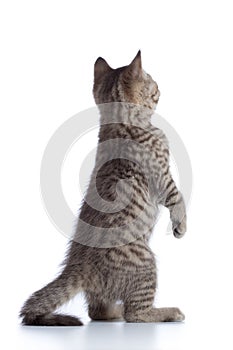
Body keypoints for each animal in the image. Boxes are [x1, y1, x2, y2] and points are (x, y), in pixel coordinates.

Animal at [20, 51, 187, 326]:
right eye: (152, 81)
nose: (161, 88)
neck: (119, 122)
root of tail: (78, 266)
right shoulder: (162, 178)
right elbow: (178, 197)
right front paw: (181, 224)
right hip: (146, 263)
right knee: (135, 314)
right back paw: (167, 312)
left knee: (97, 311)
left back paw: (114, 311)